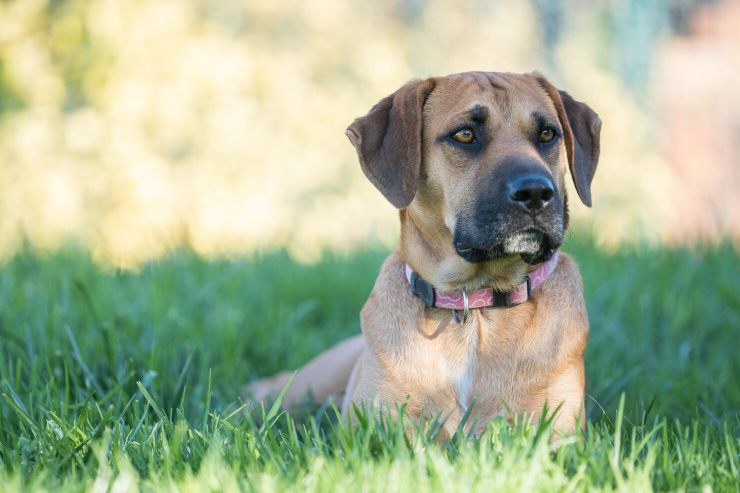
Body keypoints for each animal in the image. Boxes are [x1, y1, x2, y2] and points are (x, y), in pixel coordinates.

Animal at [250, 71, 600, 436]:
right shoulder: (373, 430)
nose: (536, 192)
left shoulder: (554, 432)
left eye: (547, 134)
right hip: (309, 382)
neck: (474, 305)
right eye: (465, 134)